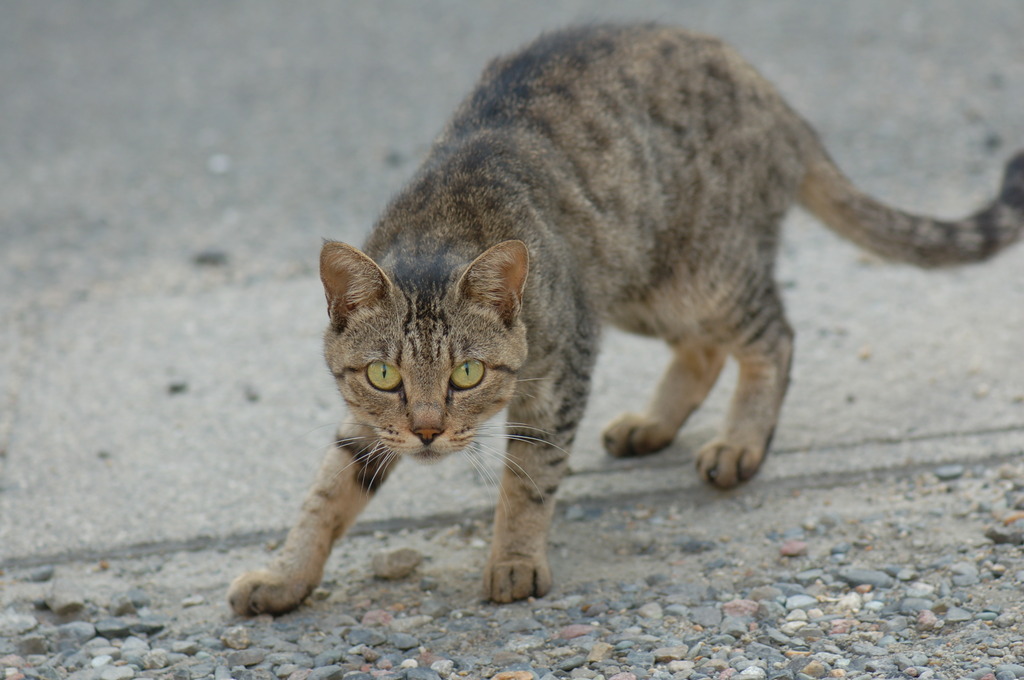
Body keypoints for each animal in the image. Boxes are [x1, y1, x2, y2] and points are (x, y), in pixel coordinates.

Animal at [228, 23, 1019, 614]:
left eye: (468, 373)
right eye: (385, 375)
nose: (426, 432)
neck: (440, 223)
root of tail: (770, 91)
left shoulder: (560, 371)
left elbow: (529, 478)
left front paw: (514, 559)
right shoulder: (368, 421)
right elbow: (327, 491)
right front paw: (286, 575)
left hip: (702, 275)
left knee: (774, 336)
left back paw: (741, 441)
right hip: (641, 287)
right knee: (703, 351)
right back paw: (654, 423)